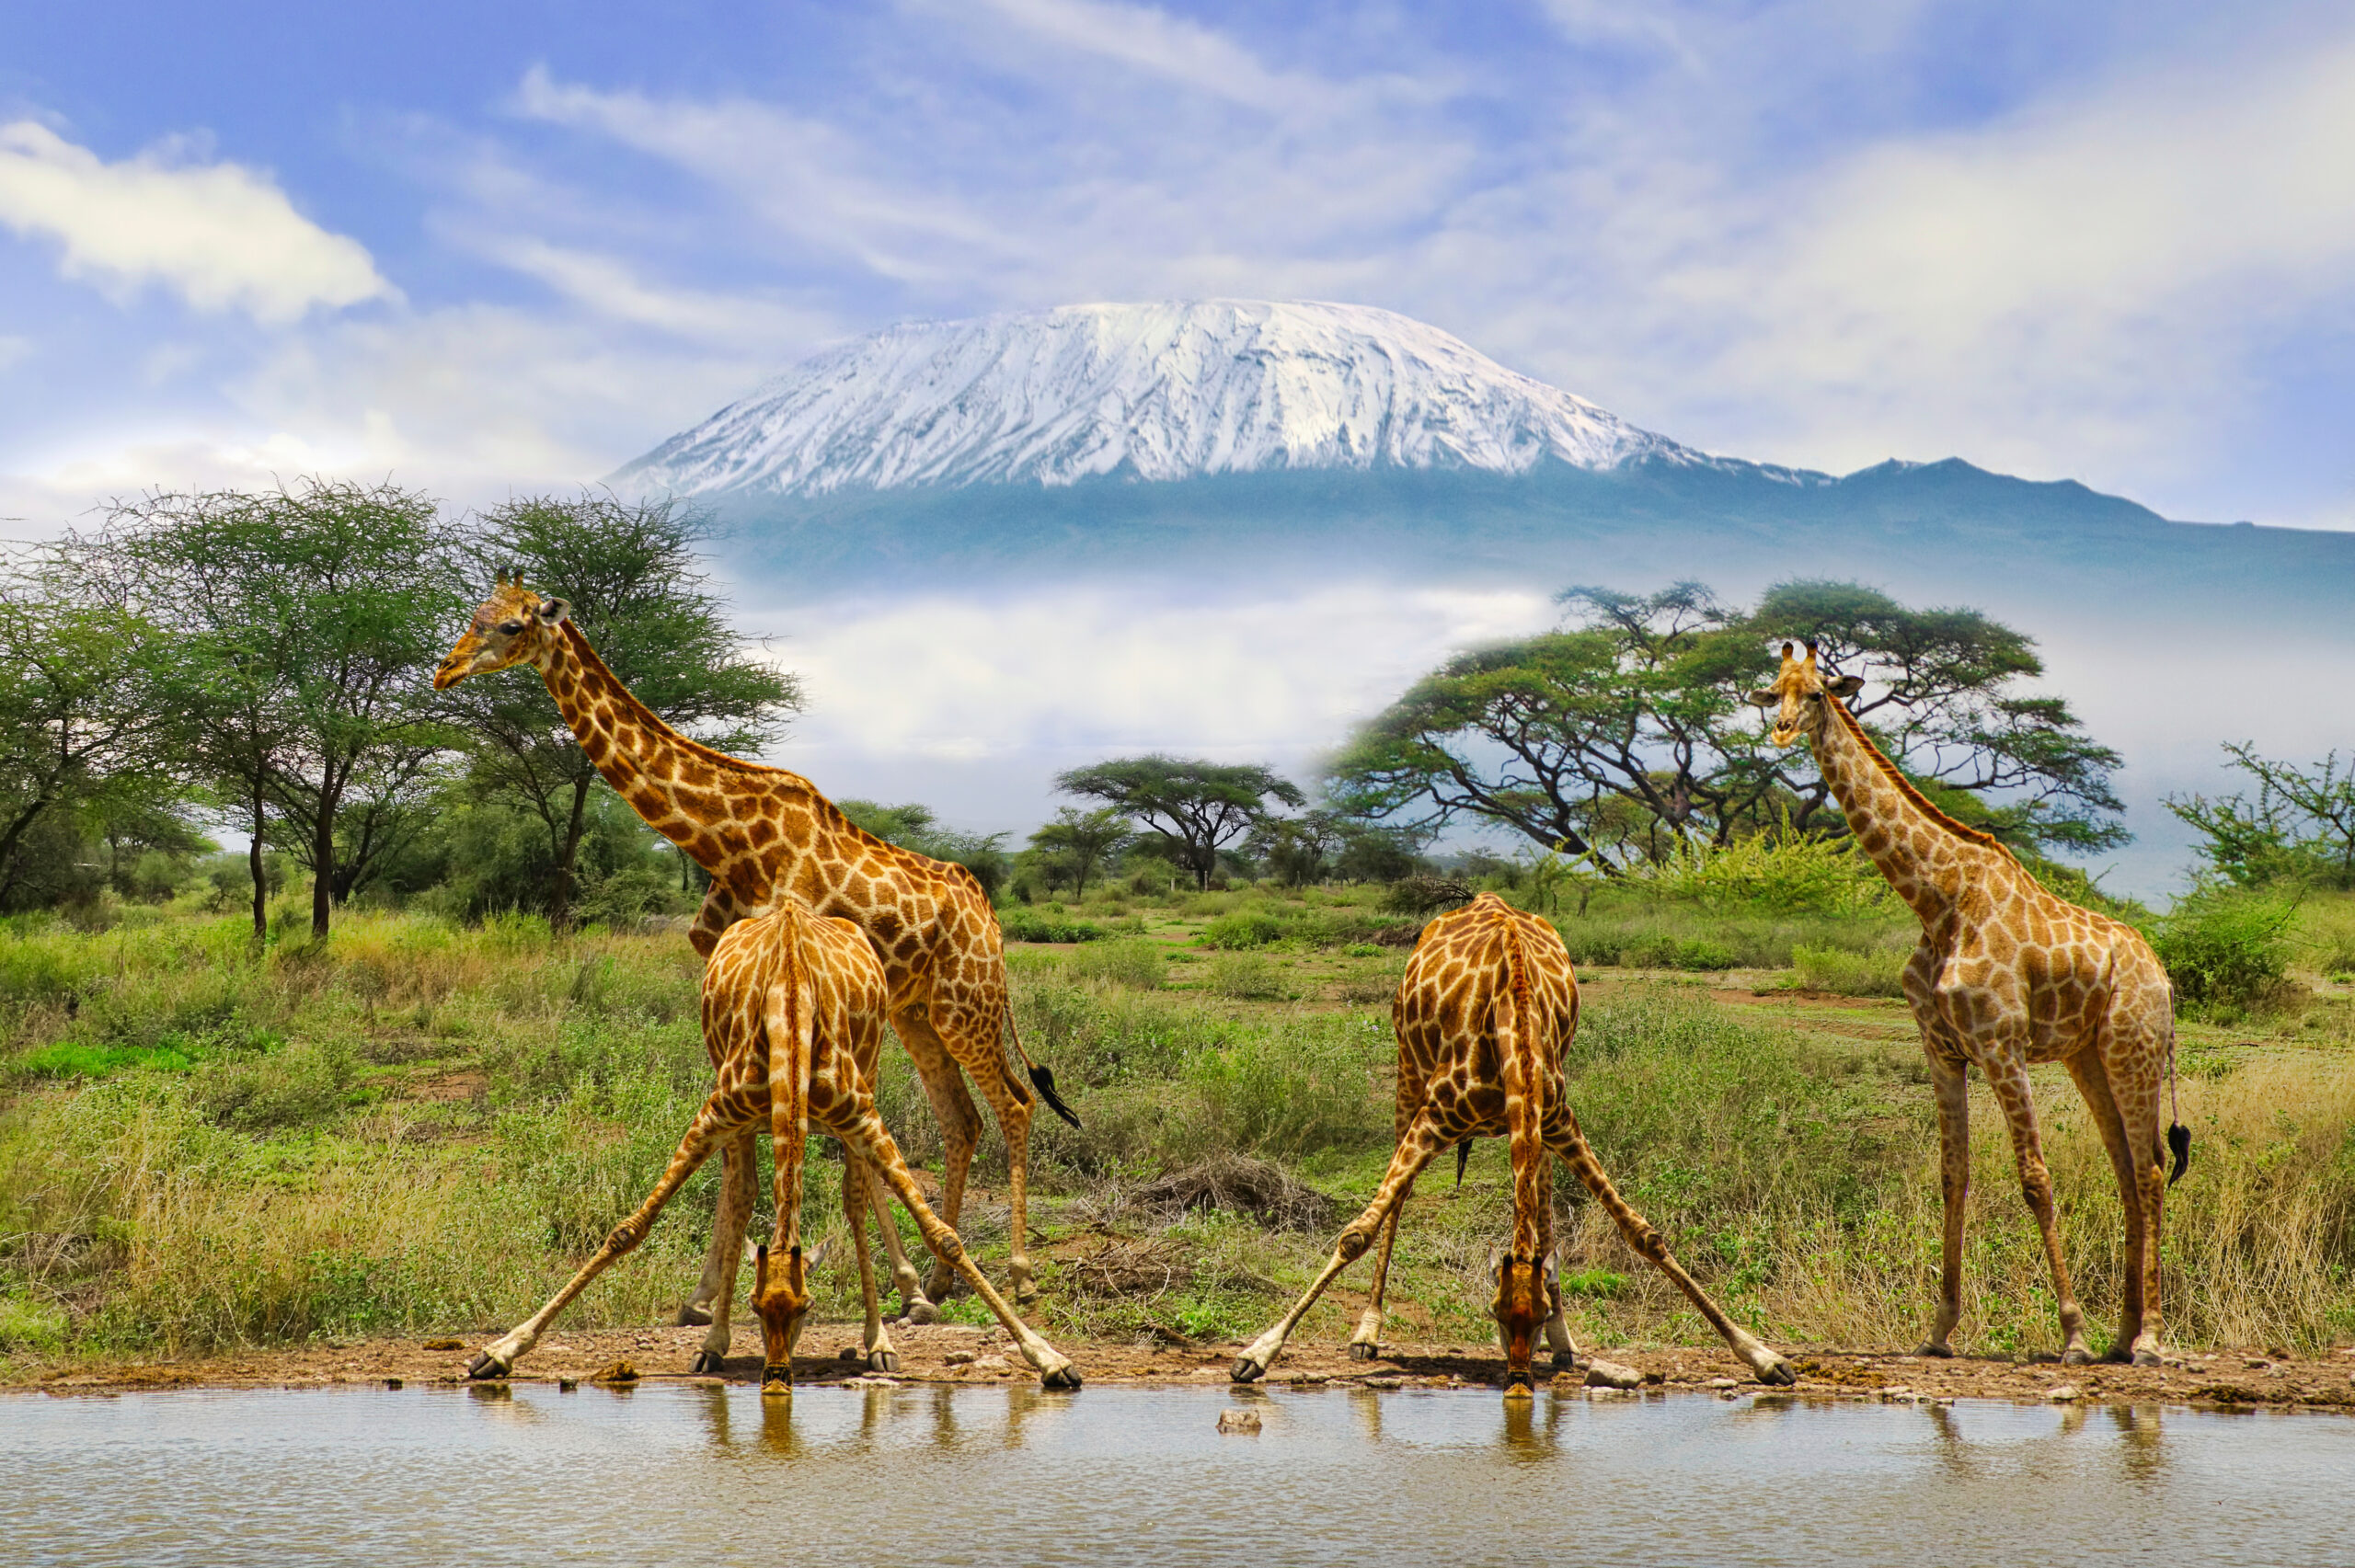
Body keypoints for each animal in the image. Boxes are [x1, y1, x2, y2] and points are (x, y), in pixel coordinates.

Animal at [434, 581, 1080, 1338]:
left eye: (510, 625)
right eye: (472, 616)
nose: (446, 670)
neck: (726, 839)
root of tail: (992, 918)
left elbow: (838, 1138)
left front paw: (886, 1286)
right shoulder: (730, 972)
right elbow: (743, 1134)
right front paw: (703, 1296)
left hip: (964, 1003)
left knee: (1014, 1104)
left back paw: (1018, 1276)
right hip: (918, 1011)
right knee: (962, 1120)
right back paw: (945, 1282)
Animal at [463, 895, 1080, 1390]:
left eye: (807, 1307)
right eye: (757, 1309)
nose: (777, 1376)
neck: (791, 1010)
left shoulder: (862, 1116)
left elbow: (944, 1237)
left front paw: (1049, 1359)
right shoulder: (716, 1114)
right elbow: (629, 1229)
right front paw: (499, 1352)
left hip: (876, 1070)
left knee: (856, 1197)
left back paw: (879, 1344)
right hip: (737, 1110)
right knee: (741, 1195)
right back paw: (713, 1344)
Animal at [1231, 892, 1796, 1394]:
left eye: (1535, 1315)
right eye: (1495, 1314)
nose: (1520, 1381)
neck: (1511, 1016)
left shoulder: (1559, 1121)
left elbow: (1644, 1235)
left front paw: (1764, 1357)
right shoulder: (1435, 1117)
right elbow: (1356, 1234)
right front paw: (1257, 1354)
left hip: (1534, 1131)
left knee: (1541, 1210)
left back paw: (1567, 1345)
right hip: (1407, 1075)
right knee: (1399, 1201)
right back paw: (1367, 1333)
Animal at [1750, 639, 2187, 1366]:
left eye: (1816, 693)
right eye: (1772, 691)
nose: (1781, 731)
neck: (1937, 899)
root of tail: (2161, 973)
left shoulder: (2000, 1044)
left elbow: (2035, 1177)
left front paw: (2071, 1334)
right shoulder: (1942, 1047)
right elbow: (1951, 1175)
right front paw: (1939, 1330)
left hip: (2135, 1046)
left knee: (2152, 1169)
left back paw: (2150, 1338)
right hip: (2087, 1056)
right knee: (2127, 1169)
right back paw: (2123, 1335)